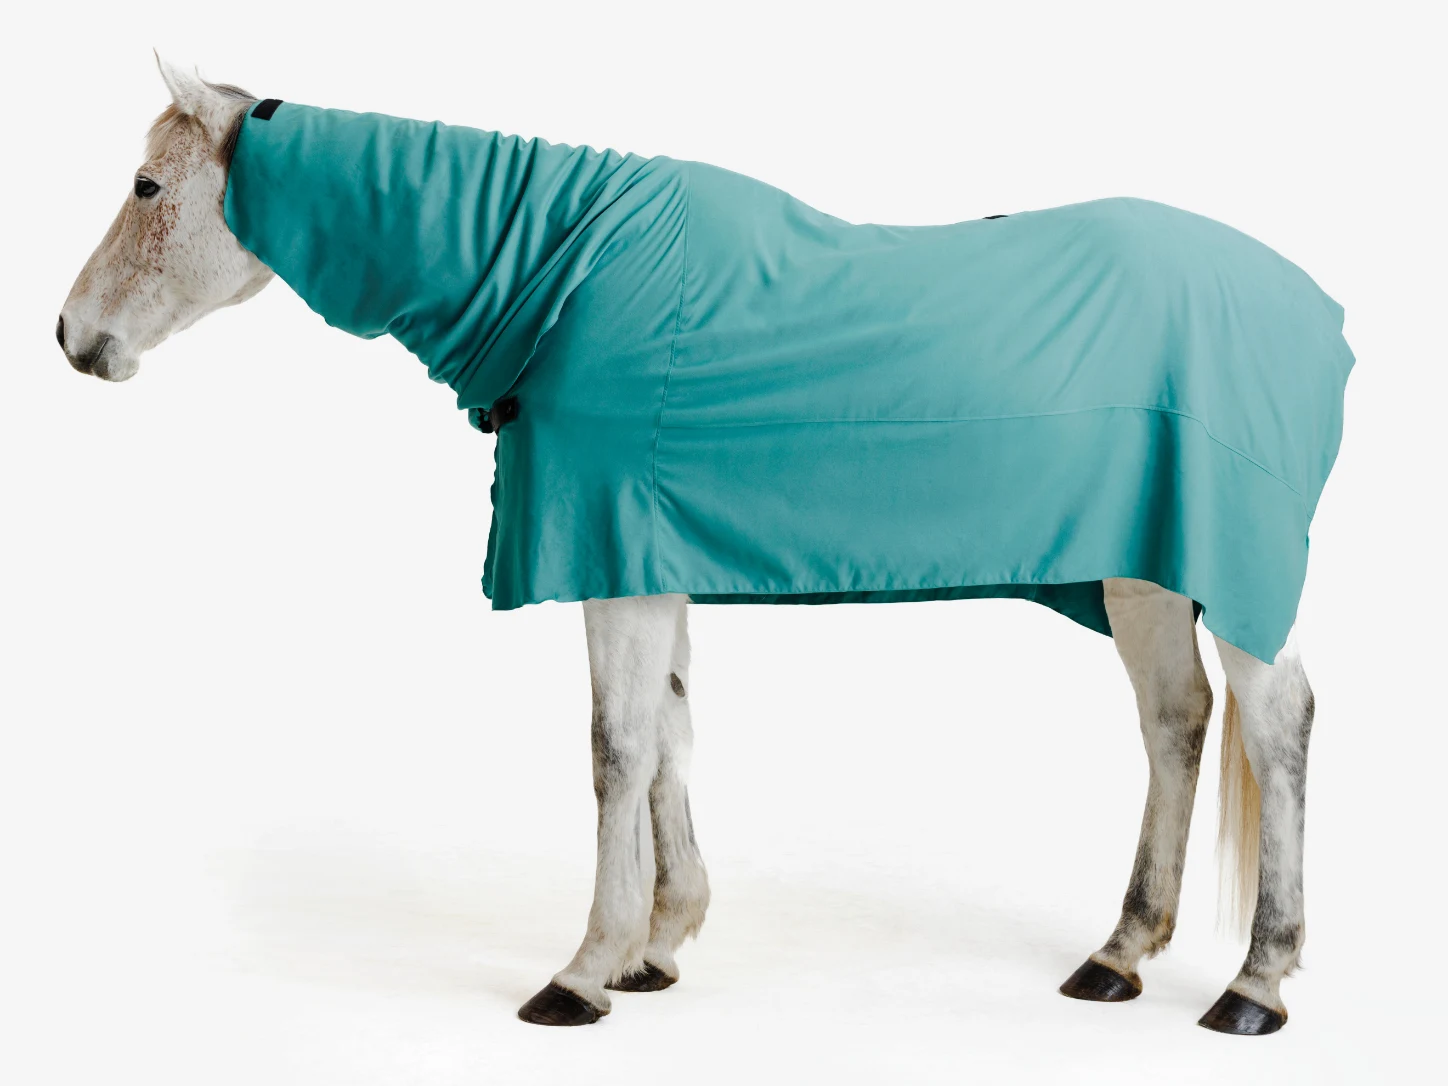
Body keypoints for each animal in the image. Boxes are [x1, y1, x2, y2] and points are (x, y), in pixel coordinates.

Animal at [58, 57, 1343, 1035]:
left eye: (147, 183)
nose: (72, 337)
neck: (570, 275)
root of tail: (1315, 309)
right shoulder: (646, 556)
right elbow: (669, 736)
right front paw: (657, 944)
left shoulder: (610, 555)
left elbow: (615, 750)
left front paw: (583, 969)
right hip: (1142, 571)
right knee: (1175, 721)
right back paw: (1119, 952)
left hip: (1226, 576)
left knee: (1272, 724)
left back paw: (1253, 982)